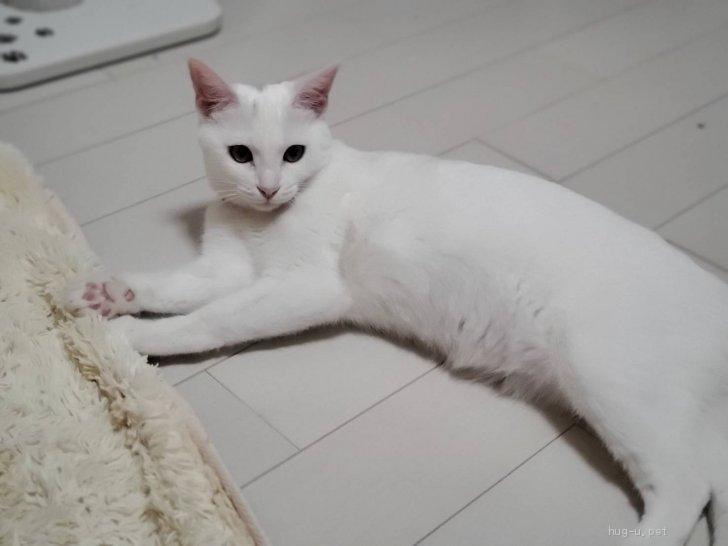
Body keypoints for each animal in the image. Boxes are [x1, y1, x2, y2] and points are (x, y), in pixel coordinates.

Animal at [67, 59, 728, 546]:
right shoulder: (224, 267)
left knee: (685, 489)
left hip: (607, 375)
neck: (259, 224)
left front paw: (129, 339)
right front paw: (110, 294)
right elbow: (174, 287)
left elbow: (207, 322)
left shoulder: (307, 286)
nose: (268, 189)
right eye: (240, 154)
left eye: (294, 154)